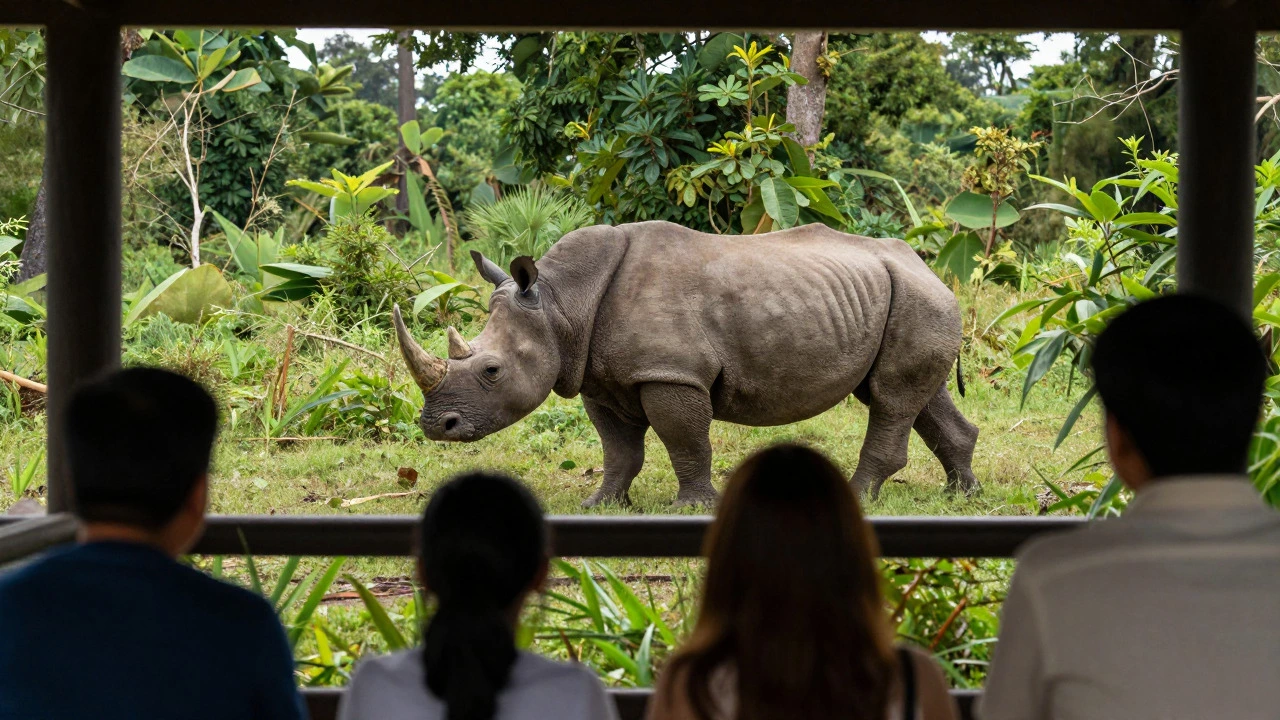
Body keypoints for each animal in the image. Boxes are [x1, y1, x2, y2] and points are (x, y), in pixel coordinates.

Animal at [393, 221, 979, 506]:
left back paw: (860, 496)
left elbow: (685, 440)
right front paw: (601, 504)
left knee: (890, 398)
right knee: (916, 398)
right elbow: (618, 449)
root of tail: (926, 265)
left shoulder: (672, 373)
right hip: (910, 297)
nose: (436, 426)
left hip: (917, 297)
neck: (561, 303)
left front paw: (691, 507)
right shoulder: (599, 378)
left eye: (492, 371)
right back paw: (962, 494)